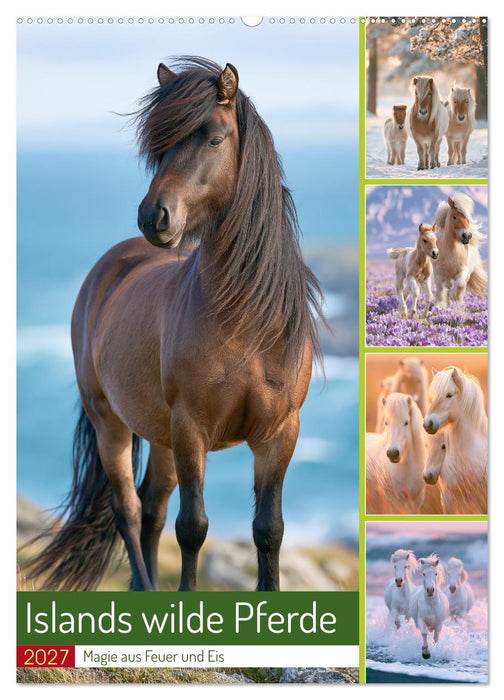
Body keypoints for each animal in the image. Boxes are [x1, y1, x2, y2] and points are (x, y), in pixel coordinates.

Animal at [23, 57, 324, 592]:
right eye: (160, 147)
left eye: (214, 139)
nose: (153, 216)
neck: (246, 322)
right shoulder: (191, 429)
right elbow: (192, 527)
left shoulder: (279, 434)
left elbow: (268, 530)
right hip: (112, 423)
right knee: (128, 509)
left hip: (159, 434)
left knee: (152, 508)